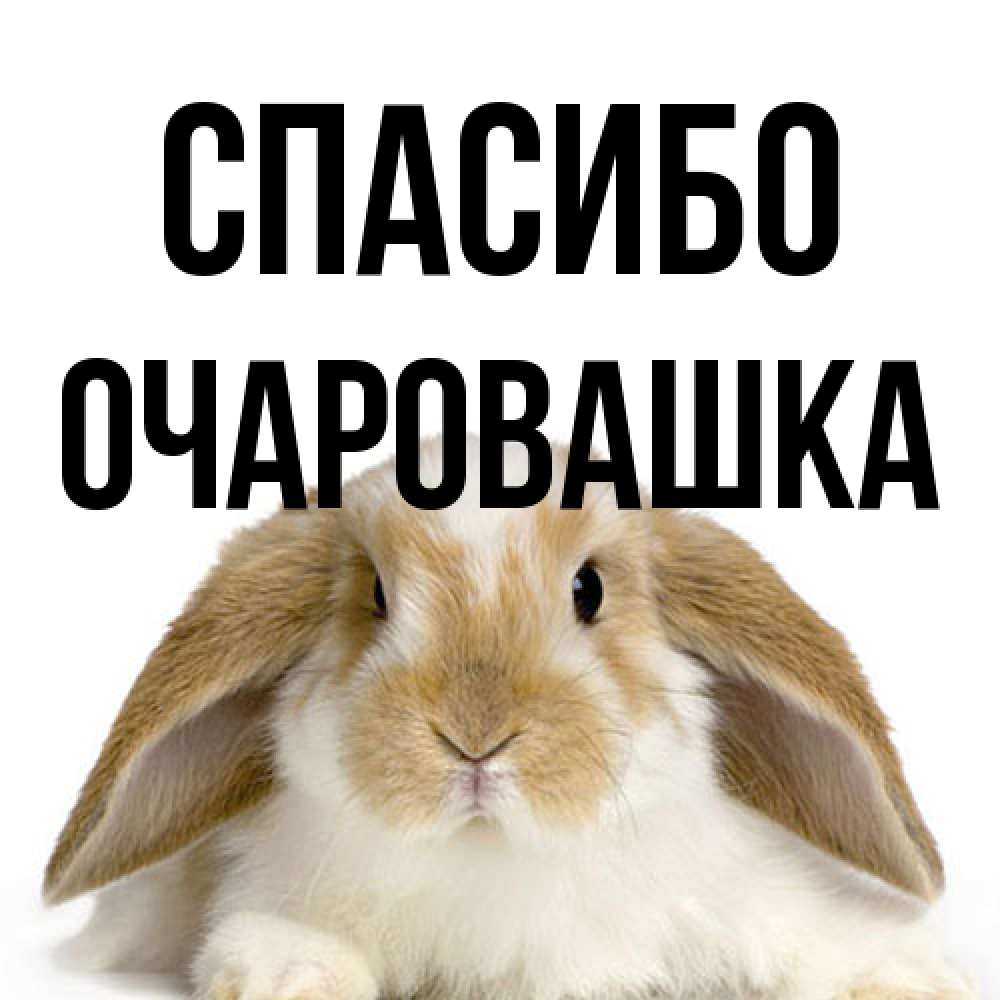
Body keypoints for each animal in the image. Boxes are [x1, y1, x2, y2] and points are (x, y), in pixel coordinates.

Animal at [45, 436, 975, 1000]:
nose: (475, 737)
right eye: (376, 596)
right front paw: (291, 977)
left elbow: (817, 939)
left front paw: (910, 978)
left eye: (589, 589)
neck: (495, 857)